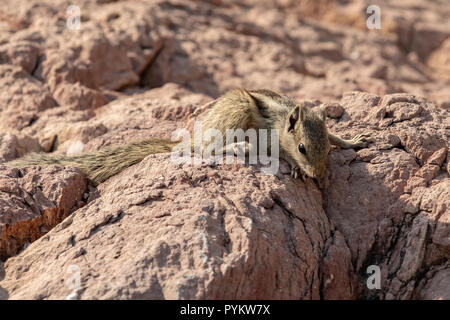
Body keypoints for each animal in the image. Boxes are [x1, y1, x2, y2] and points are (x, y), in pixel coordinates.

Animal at [4, 89, 370, 185]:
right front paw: (294, 168)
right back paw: (237, 145)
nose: (318, 176)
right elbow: (280, 154)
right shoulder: (271, 138)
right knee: (205, 150)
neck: (282, 124)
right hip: (234, 112)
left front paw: (355, 141)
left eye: (325, 151)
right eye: (303, 147)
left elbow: (341, 138)